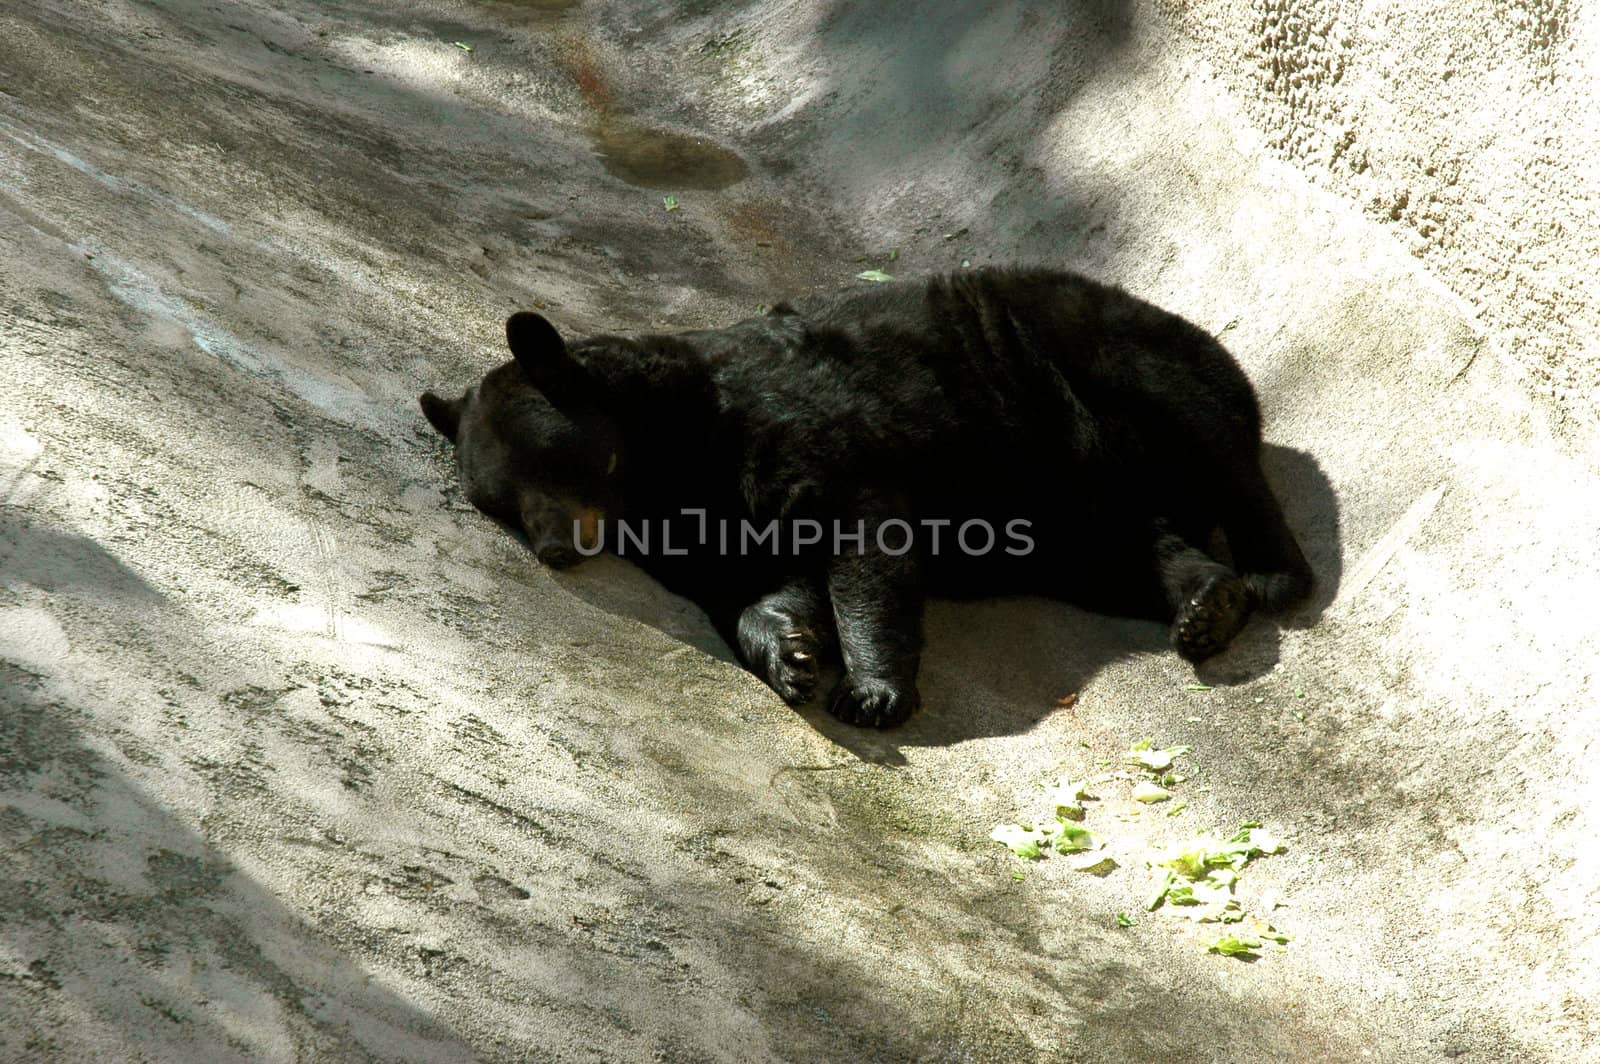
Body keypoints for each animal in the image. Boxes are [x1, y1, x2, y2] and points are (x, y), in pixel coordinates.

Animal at [422, 270, 1312, 726]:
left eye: (549, 461)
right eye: (500, 502)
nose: (553, 548)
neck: (669, 459)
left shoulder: (802, 429)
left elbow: (864, 544)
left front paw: (872, 689)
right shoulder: (701, 529)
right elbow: (757, 586)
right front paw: (791, 656)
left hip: (1107, 370)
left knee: (1211, 442)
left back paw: (1271, 571)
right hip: (1070, 510)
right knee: (1135, 550)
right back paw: (1206, 604)